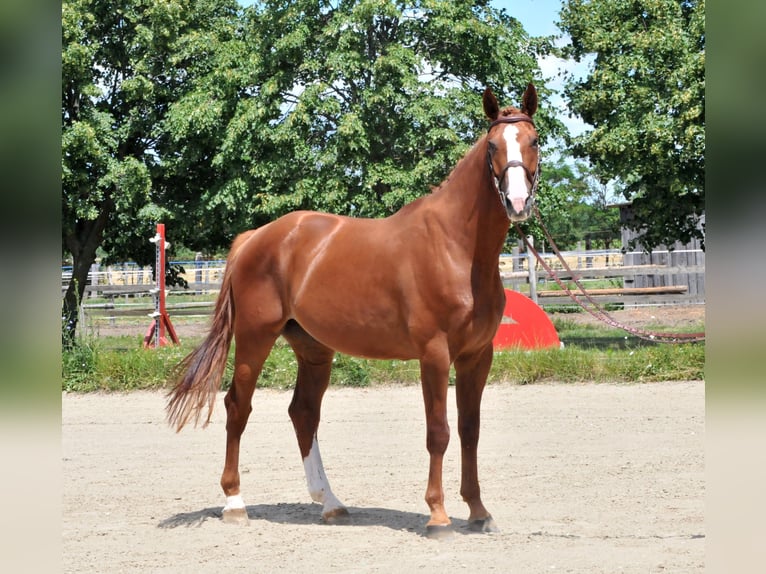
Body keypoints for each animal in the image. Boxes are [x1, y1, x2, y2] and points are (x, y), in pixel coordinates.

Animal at [168, 85, 540, 540]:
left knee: (303, 413)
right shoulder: (434, 354)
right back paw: (235, 502)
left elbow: (470, 430)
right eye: (492, 147)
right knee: (238, 406)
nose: (518, 202)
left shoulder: (476, 356)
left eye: (533, 141)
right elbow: (439, 431)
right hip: (255, 338)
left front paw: (478, 510)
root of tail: (256, 237)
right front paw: (438, 515)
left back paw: (330, 502)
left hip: (313, 349)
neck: (457, 247)